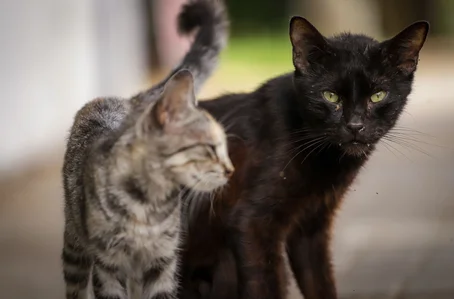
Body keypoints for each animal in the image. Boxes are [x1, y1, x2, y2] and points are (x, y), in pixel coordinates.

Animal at [61, 0, 231, 299]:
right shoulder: (108, 265)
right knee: (76, 285)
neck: (147, 203)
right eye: (210, 148)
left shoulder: (162, 261)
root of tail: (126, 99)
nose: (230, 170)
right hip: (74, 247)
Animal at [178, 15, 430, 299]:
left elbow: (320, 284)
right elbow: (267, 286)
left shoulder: (312, 227)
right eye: (330, 96)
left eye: (378, 95)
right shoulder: (251, 224)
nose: (355, 125)